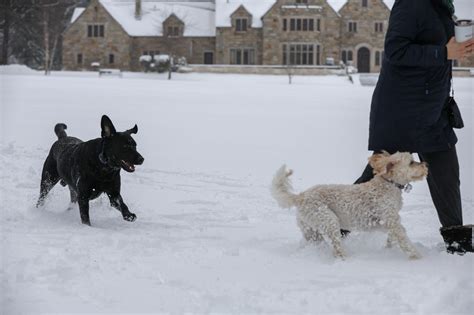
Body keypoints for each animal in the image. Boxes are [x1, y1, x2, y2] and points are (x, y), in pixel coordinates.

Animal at [270, 152, 430, 260]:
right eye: (411, 162)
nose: (426, 164)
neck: (388, 184)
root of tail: (301, 196)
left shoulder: (385, 223)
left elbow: (394, 236)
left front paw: (388, 248)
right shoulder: (390, 220)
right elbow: (404, 239)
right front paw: (417, 257)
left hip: (312, 231)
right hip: (328, 220)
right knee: (337, 248)